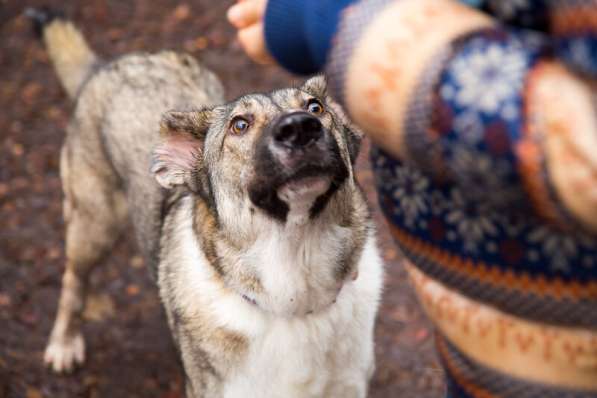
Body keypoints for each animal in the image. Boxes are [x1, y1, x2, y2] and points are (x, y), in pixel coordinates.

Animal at [29, 9, 382, 398]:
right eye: (239, 125)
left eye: (315, 108)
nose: (301, 128)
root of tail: (106, 66)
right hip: (95, 224)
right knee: (73, 281)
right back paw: (64, 343)